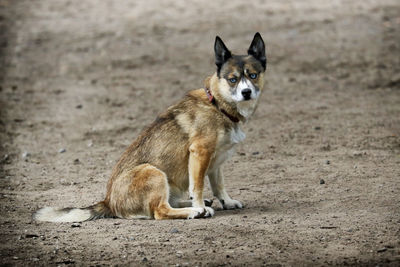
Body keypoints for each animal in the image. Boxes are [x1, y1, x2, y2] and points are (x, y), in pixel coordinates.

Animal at [33, 32, 266, 223]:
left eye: (253, 76)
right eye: (233, 79)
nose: (246, 92)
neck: (218, 105)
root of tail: (109, 202)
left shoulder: (215, 161)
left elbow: (219, 185)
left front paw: (227, 201)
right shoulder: (201, 153)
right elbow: (198, 186)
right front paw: (200, 206)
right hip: (153, 172)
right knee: (160, 211)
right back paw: (195, 211)